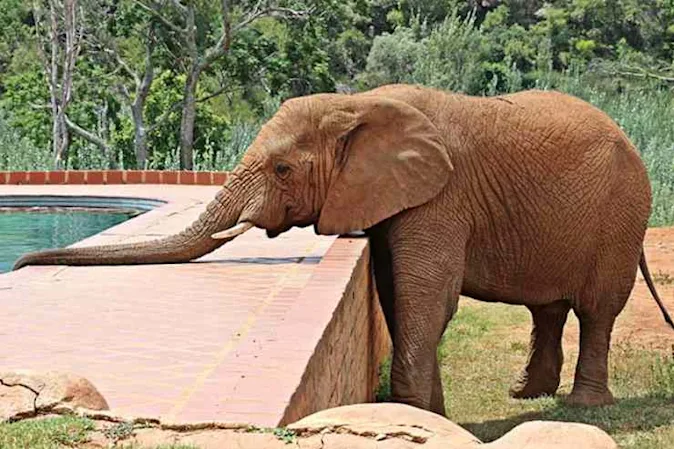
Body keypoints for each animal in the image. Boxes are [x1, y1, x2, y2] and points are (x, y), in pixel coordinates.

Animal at [14, 84, 674, 415]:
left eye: (282, 169)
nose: (19, 263)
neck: (356, 102)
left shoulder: (441, 194)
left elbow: (425, 297)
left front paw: (416, 415)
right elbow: (396, 291)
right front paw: (425, 415)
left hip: (620, 215)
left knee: (597, 309)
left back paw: (584, 406)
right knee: (548, 306)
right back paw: (525, 396)